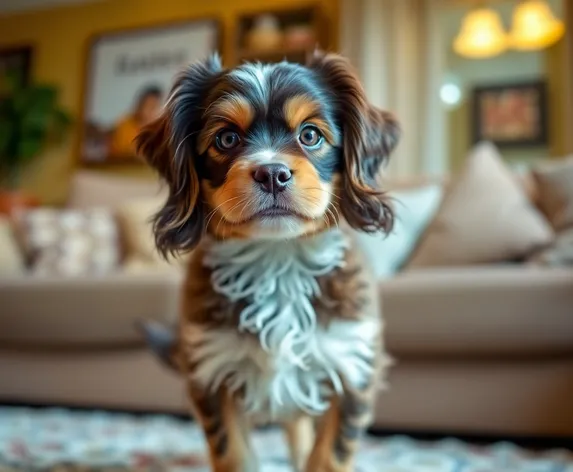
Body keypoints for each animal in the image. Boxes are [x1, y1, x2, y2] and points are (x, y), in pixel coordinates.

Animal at [136, 51, 400, 472]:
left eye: (310, 135)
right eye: (227, 138)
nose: (273, 173)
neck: (278, 258)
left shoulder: (352, 366)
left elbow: (329, 456)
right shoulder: (212, 373)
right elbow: (234, 455)